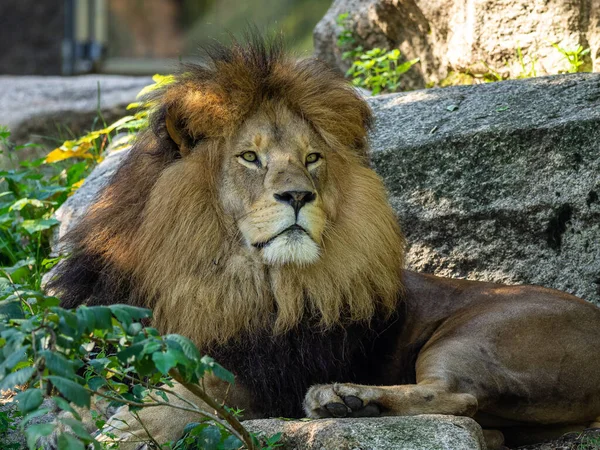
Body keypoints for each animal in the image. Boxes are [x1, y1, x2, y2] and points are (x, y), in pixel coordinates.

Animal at [50, 36, 600, 450]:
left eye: (312, 157)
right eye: (250, 157)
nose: (298, 194)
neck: (219, 274)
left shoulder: (271, 372)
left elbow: (199, 393)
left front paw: (130, 424)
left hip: (475, 332)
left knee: (458, 398)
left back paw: (341, 398)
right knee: (487, 426)